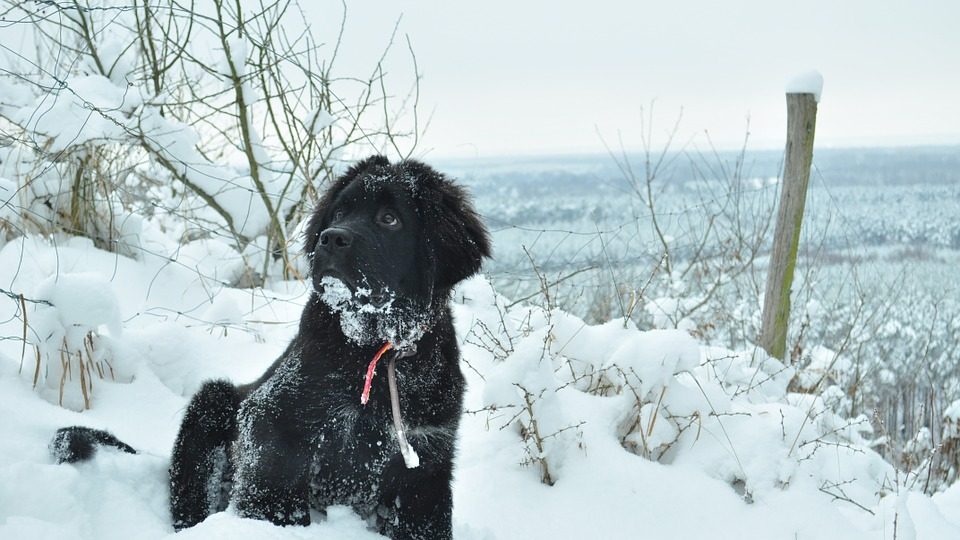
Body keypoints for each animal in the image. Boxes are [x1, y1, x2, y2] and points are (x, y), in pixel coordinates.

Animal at [51, 154, 488, 536]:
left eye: (389, 219)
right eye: (339, 214)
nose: (331, 239)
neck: (374, 349)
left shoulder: (427, 461)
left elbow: (425, 523)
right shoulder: (272, 421)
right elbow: (274, 495)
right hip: (210, 406)